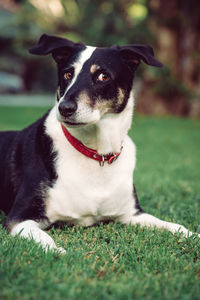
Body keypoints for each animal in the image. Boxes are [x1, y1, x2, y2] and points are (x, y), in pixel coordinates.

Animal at [0, 34, 198, 252]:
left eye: (103, 76)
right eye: (68, 74)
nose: (65, 108)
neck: (97, 151)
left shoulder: (132, 214)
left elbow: (174, 225)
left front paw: (194, 235)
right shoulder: (19, 218)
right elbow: (43, 237)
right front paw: (57, 252)